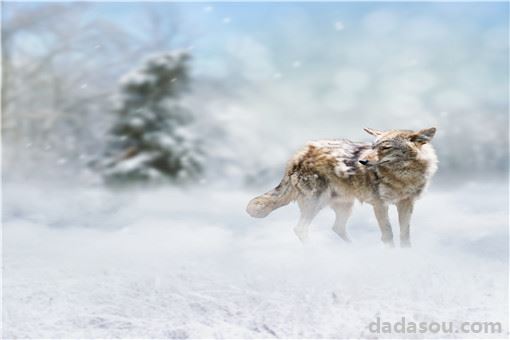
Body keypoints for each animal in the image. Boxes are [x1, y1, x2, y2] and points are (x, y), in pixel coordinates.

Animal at [247, 127, 438, 247]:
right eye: (373, 146)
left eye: (386, 147)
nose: (362, 161)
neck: (403, 177)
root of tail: (299, 154)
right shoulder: (380, 204)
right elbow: (388, 233)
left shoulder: (406, 203)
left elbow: (405, 235)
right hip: (316, 203)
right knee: (300, 228)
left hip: (345, 206)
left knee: (336, 228)